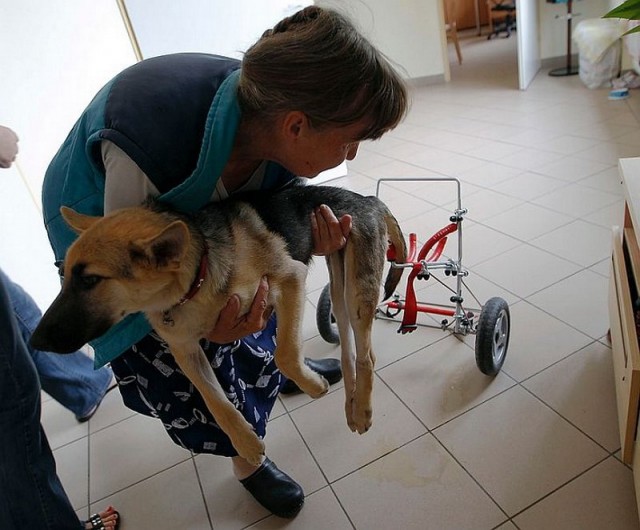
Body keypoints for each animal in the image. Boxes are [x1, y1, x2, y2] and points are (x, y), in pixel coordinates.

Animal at [31, 183, 404, 462]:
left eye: (90, 281)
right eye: (63, 275)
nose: (34, 342)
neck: (196, 278)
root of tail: (368, 199)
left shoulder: (290, 279)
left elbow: (285, 354)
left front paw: (313, 386)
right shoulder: (184, 348)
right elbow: (215, 401)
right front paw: (246, 443)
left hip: (357, 290)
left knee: (366, 355)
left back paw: (362, 409)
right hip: (340, 290)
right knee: (350, 352)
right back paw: (352, 409)